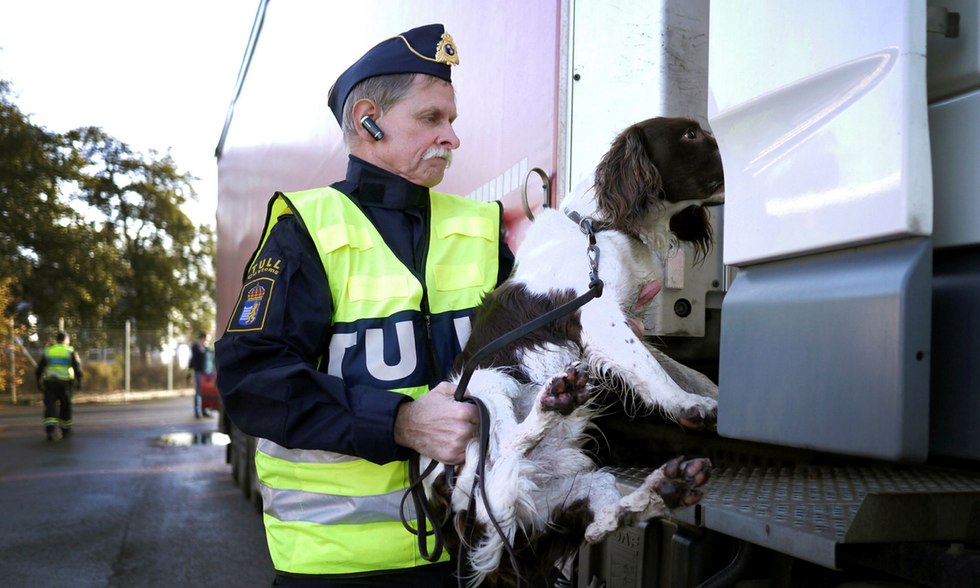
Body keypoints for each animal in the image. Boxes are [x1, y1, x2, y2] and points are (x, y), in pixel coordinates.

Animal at [434, 117, 720, 584]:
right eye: (690, 134)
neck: (598, 227)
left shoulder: (625, 320)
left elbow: (682, 370)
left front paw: (713, 396)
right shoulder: (599, 315)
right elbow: (655, 373)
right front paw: (687, 406)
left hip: (582, 487)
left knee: (601, 523)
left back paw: (667, 488)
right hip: (486, 387)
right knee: (505, 450)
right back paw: (554, 402)